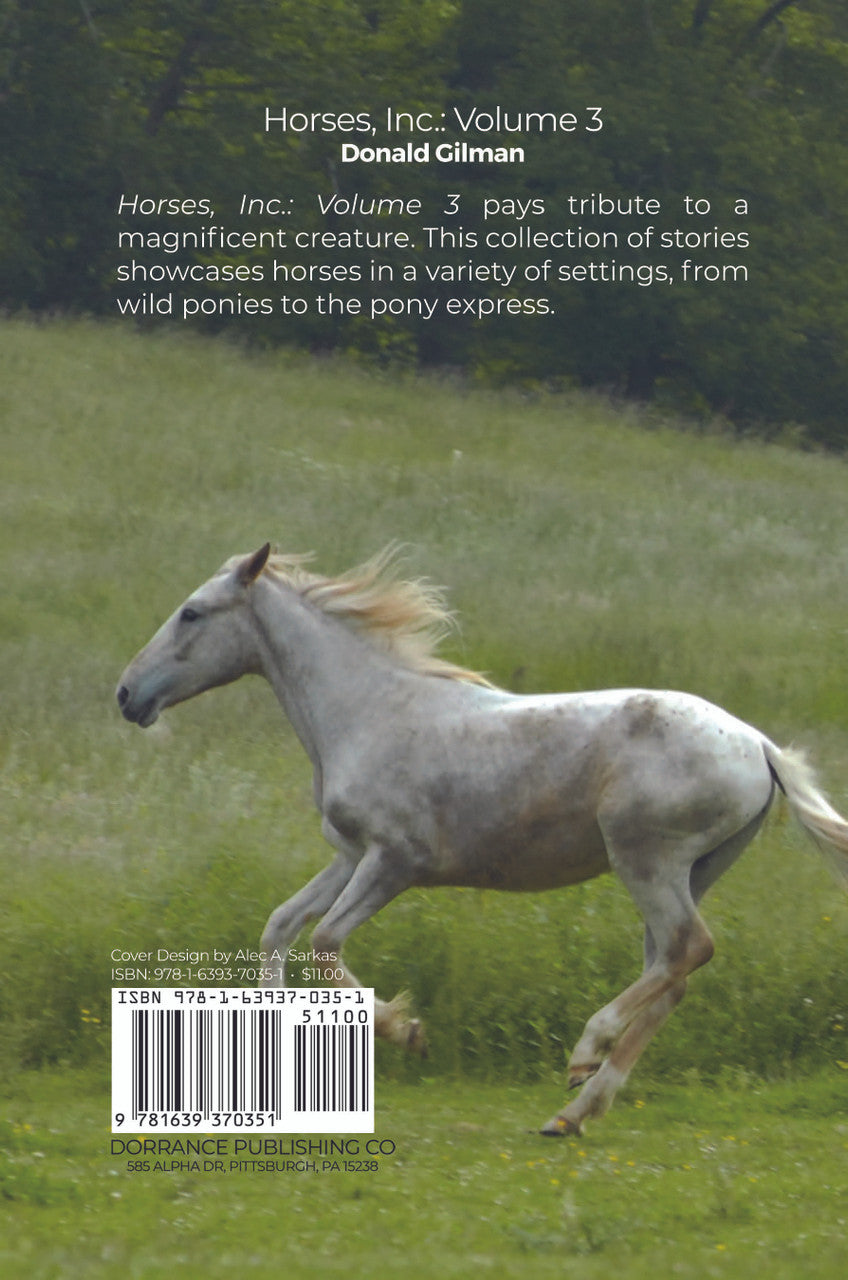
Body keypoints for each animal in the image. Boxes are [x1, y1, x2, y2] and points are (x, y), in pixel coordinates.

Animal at [117, 543, 848, 1134]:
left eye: (192, 614)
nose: (126, 695)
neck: (367, 712)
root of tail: (760, 746)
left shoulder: (393, 862)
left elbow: (324, 943)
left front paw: (408, 1031)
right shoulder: (349, 855)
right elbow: (278, 927)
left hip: (647, 859)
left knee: (687, 950)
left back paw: (584, 1055)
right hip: (693, 870)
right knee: (671, 972)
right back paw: (574, 1111)